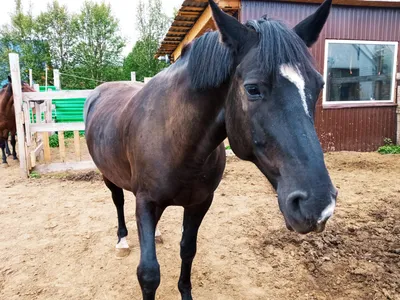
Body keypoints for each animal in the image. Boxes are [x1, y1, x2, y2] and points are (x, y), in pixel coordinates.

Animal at [84, 1, 338, 298]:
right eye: (252, 89)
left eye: (319, 86)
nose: (319, 205)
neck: (178, 143)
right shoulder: (146, 202)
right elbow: (148, 273)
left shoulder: (200, 203)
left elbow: (188, 250)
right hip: (109, 177)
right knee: (118, 200)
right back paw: (122, 240)